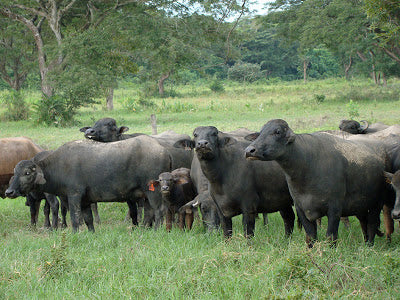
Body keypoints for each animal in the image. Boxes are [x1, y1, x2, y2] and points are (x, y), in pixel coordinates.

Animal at [5, 136, 170, 232]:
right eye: (15, 172)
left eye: (27, 173)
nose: (9, 192)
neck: (59, 166)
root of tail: (164, 150)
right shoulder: (85, 200)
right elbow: (88, 219)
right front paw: (91, 233)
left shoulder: (74, 195)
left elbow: (74, 218)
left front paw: (75, 233)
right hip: (146, 194)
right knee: (149, 213)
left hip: (153, 191)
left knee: (159, 211)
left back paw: (156, 230)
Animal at [244, 119, 390, 246]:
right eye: (261, 132)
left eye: (277, 131)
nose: (249, 151)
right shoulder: (301, 209)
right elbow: (310, 237)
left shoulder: (335, 209)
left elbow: (331, 236)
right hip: (361, 206)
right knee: (364, 223)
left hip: (376, 205)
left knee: (371, 225)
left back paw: (369, 245)